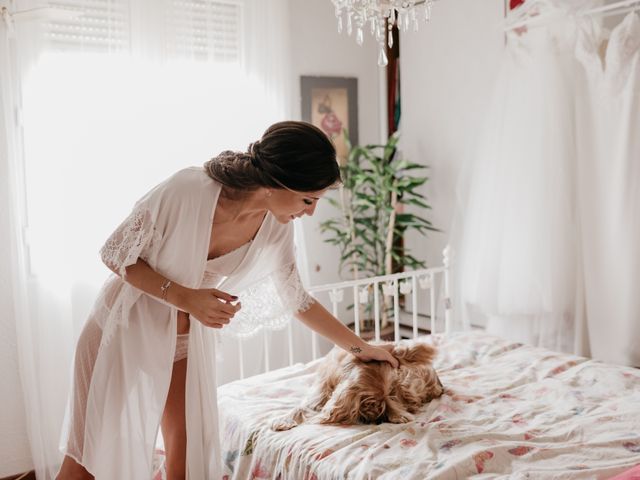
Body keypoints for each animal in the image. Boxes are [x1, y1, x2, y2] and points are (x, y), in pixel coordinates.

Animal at [272, 342, 444, 432]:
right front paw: (283, 420)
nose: (379, 419)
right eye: (369, 402)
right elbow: (299, 408)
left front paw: (398, 415)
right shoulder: (317, 395)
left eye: (391, 393)